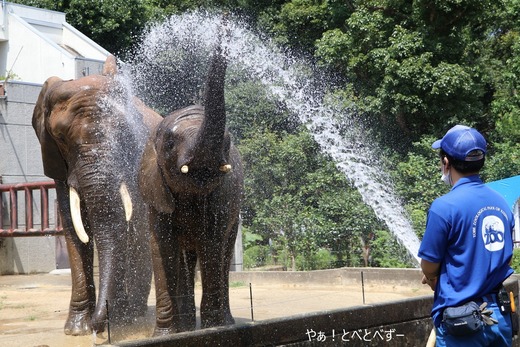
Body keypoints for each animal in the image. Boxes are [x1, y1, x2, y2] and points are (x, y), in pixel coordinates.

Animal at [138, 42, 244, 336]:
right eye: (170, 144)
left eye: (226, 143)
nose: (225, 32)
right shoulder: (156, 195)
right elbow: (161, 247)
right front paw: (164, 334)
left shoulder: (221, 200)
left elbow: (212, 245)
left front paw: (212, 328)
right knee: (185, 256)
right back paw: (185, 326)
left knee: (222, 253)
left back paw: (223, 321)